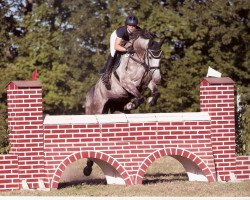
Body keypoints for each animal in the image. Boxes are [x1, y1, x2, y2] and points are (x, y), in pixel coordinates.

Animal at [82, 28, 166, 176]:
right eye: (150, 57)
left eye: (160, 57)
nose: (158, 78)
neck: (138, 59)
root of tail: (93, 89)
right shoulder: (127, 83)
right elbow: (139, 97)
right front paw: (131, 104)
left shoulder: (146, 81)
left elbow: (155, 92)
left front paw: (150, 100)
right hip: (98, 109)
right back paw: (87, 168)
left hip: (114, 109)